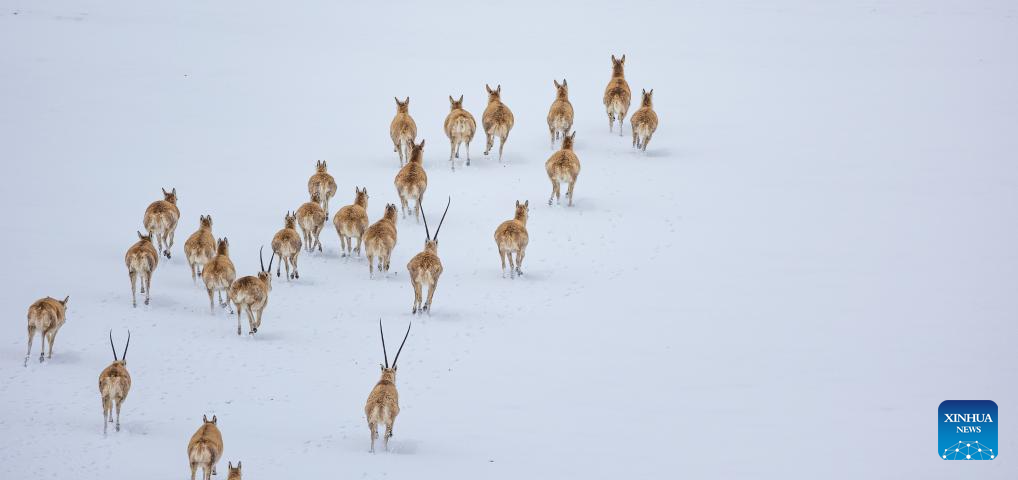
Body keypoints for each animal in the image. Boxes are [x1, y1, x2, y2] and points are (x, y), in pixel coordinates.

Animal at [366, 321, 413, 451]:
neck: (386, 381)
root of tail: (381, 405)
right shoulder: (394, 418)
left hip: (372, 421)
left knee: (373, 436)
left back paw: (373, 451)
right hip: (389, 421)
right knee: (386, 435)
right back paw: (386, 450)